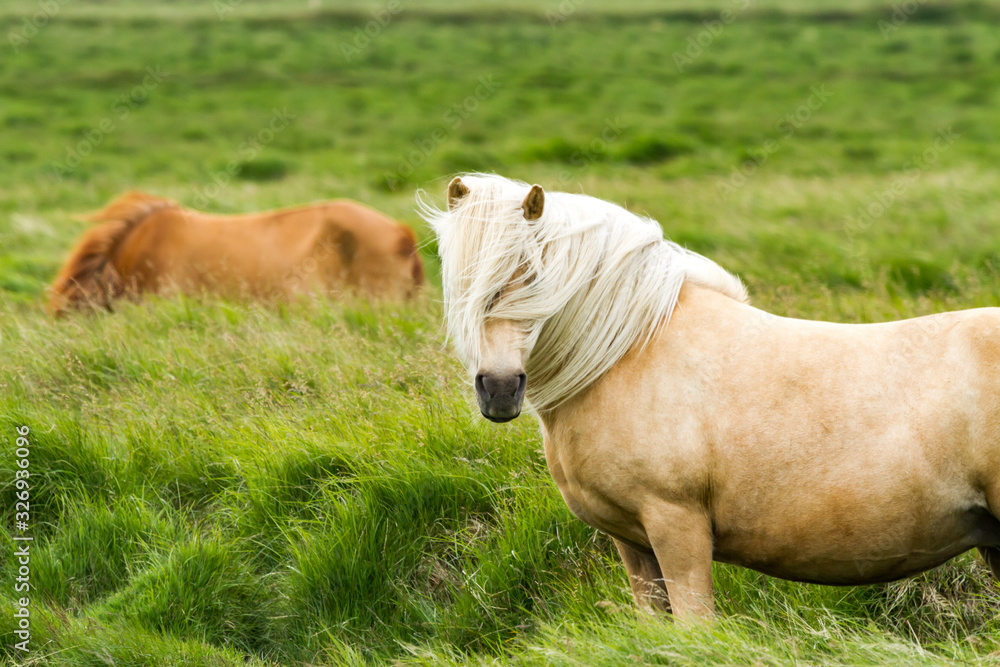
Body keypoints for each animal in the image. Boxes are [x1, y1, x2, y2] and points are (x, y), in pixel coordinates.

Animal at [432, 175, 1000, 624]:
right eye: (459, 279)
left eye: (532, 274)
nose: (499, 388)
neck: (631, 352)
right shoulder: (634, 544)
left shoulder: (677, 528)